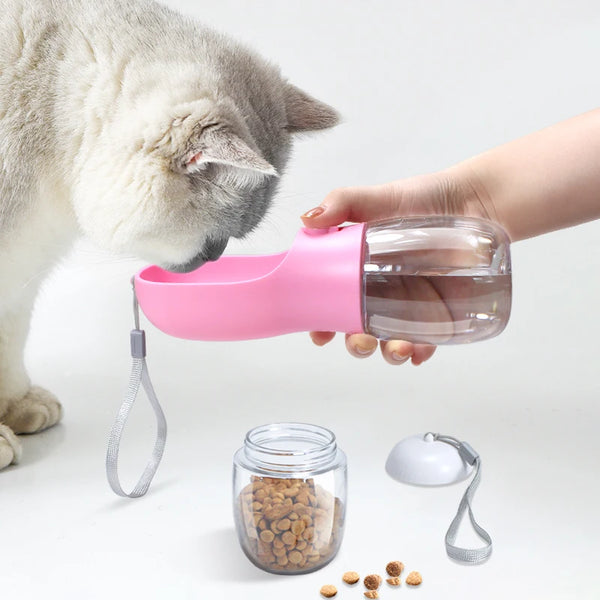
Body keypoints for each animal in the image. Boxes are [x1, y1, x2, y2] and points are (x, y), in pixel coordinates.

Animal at [0, 0, 338, 468]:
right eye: (217, 235)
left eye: (231, 238)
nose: (215, 257)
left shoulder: (21, 273)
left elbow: (10, 344)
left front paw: (18, 407)